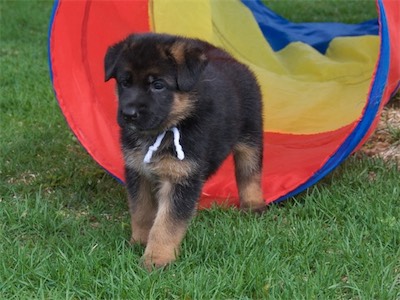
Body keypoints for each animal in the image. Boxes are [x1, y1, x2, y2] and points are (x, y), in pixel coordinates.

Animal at [104, 33, 266, 270]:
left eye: (158, 85)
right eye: (125, 82)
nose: (129, 114)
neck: (163, 130)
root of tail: (231, 59)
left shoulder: (181, 178)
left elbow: (166, 224)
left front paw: (156, 259)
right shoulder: (138, 171)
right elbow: (141, 211)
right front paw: (138, 242)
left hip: (250, 135)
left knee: (249, 171)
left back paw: (254, 205)